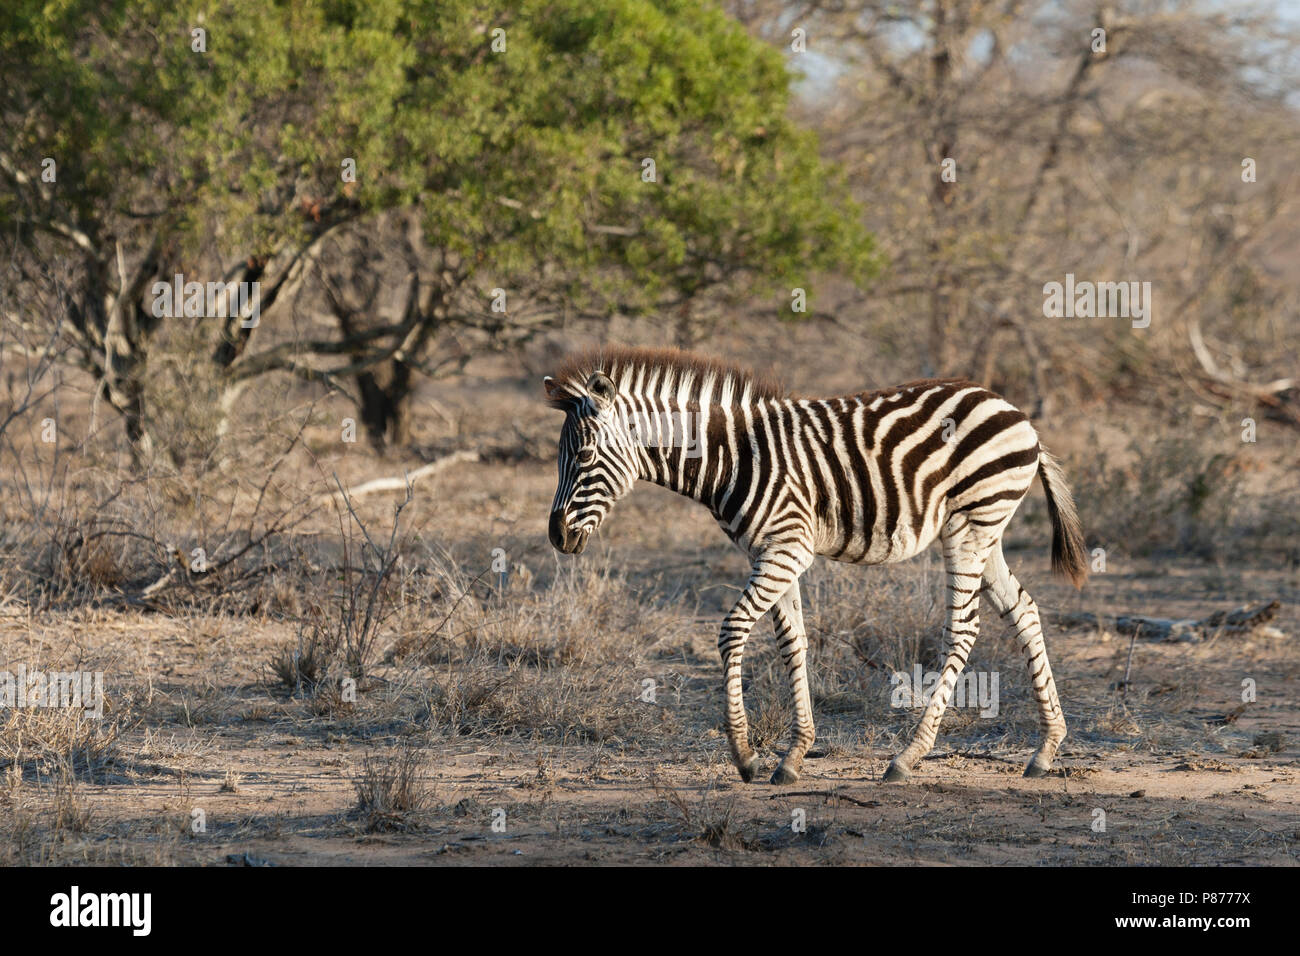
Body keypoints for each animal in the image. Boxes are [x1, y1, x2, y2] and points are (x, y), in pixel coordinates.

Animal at [540, 343, 1086, 785]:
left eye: (584, 456)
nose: (556, 536)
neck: (733, 457)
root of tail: (1014, 410)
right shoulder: (773, 549)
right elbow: (792, 643)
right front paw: (794, 755)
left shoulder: (788, 548)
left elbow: (732, 630)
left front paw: (745, 757)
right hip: (986, 532)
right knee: (1024, 610)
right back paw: (1045, 749)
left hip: (970, 524)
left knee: (965, 628)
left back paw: (908, 756)